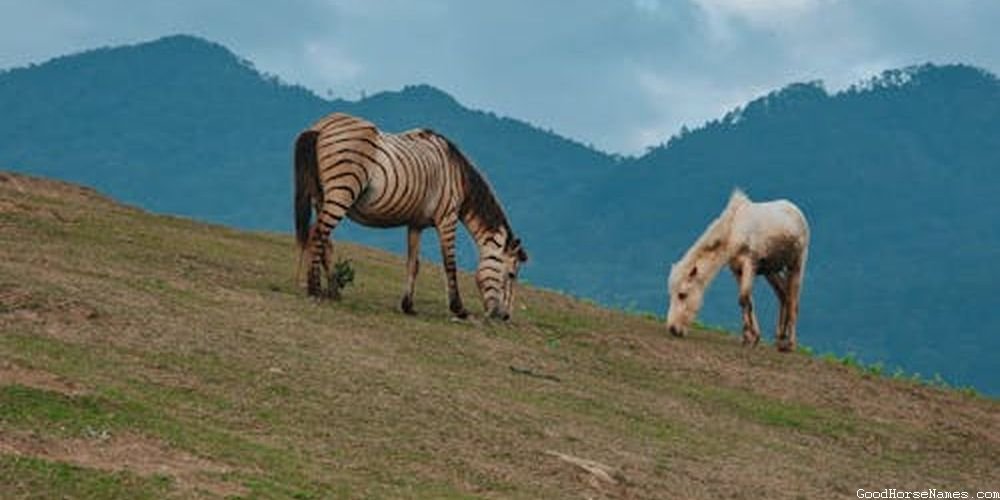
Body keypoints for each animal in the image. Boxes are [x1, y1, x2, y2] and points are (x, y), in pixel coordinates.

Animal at [292, 112, 528, 320]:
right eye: (511, 275)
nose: (505, 317)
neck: (458, 177)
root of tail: (321, 125)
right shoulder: (447, 219)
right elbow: (450, 264)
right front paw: (458, 309)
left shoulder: (416, 224)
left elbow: (413, 264)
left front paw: (408, 306)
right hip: (341, 191)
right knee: (318, 235)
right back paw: (315, 289)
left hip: (321, 196)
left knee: (323, 239)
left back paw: (332, 291)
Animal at [668, 189, 808, 350]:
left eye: (682, 295)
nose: (672, 329)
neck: (733, 231)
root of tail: (796, 210)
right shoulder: (737, 271)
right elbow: (747, 301)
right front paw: (751, 337)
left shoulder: (749, 264)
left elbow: (743, 298)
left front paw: (749, 335)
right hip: (771, 270)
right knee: (783, 295)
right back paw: (780, 338)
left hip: (796, 264)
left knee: (793, 300)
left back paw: (790, 344)